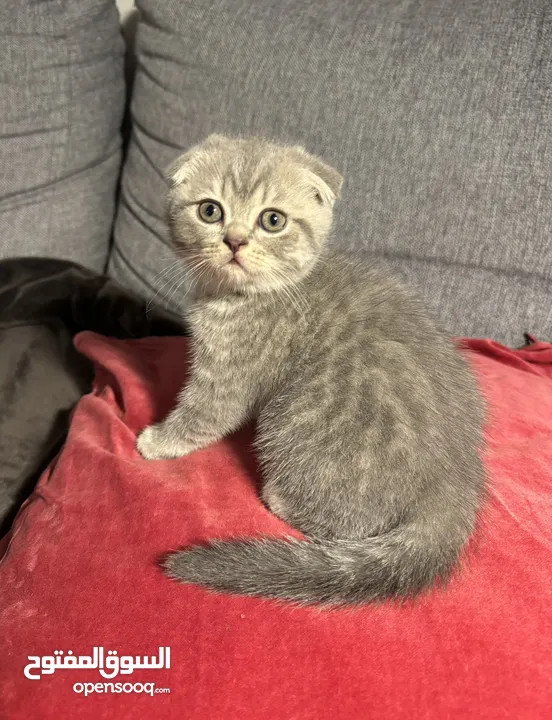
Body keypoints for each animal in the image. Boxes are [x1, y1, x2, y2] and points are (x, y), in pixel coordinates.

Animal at [139, 132, 488, 604]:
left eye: (272, 220)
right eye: (210, 211)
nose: (234, 241)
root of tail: (455, 484)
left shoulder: (229, 375)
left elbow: (203, 415)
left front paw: (158, 440)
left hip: (291, 419)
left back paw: (280, 497)